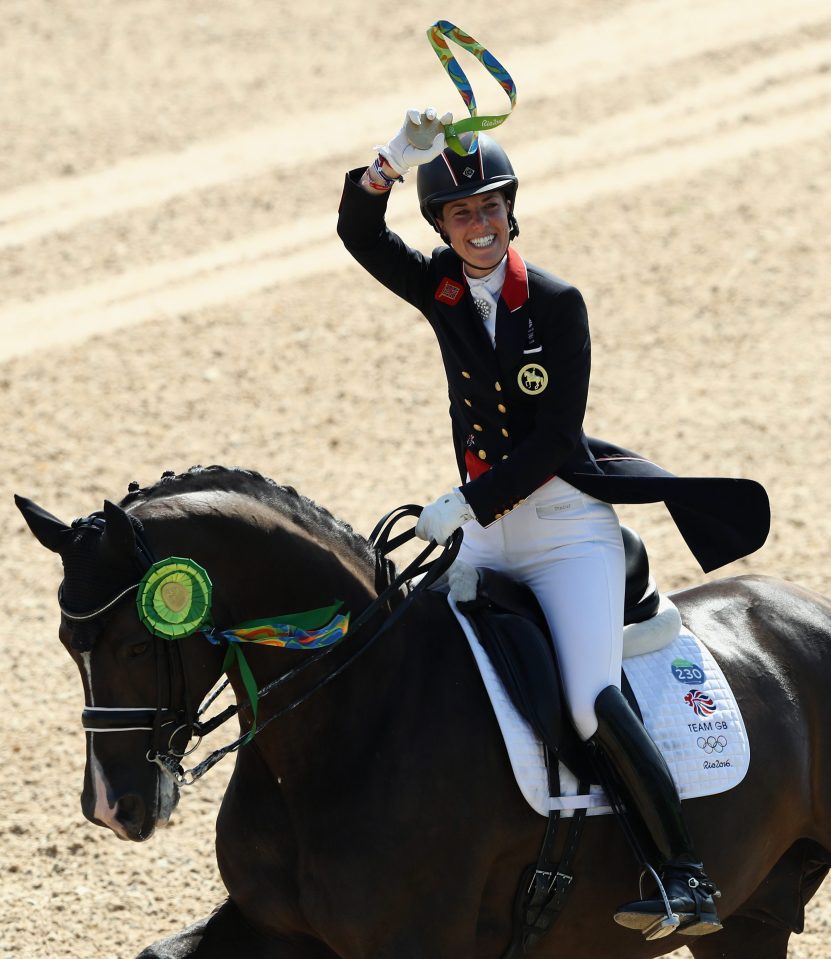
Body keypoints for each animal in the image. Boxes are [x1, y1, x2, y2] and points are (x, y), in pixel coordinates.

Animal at [16, 462, 831, 956]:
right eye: (65, 643)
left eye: (133, 644)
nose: (110, 807)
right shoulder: (274, 928)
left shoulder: (412, 940)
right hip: (750, 915)